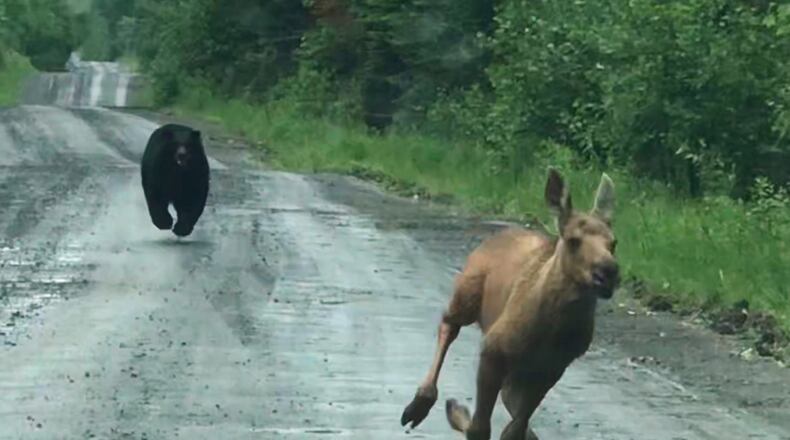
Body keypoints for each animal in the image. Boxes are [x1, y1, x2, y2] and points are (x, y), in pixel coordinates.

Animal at [400, 168, 619, 440]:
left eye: (614, 243)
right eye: (573, 240)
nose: (608, 272)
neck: (553, 329)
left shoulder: (552, 368)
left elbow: (514, 428)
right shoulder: (493, 349)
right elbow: (481, 428)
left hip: (518, 371)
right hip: (467, 293)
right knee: (449, 324)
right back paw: (421, 404)